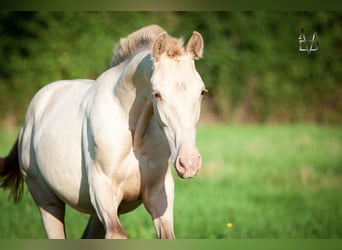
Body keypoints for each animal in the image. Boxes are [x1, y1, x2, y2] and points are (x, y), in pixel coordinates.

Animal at [0, 24, 206, 238]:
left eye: (201, 92)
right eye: (157, 94)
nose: (189, 163)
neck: (135, 137)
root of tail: (29, 118)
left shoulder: (158, 194)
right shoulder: (103, 191)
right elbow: (118, 234)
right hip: (46, 200)